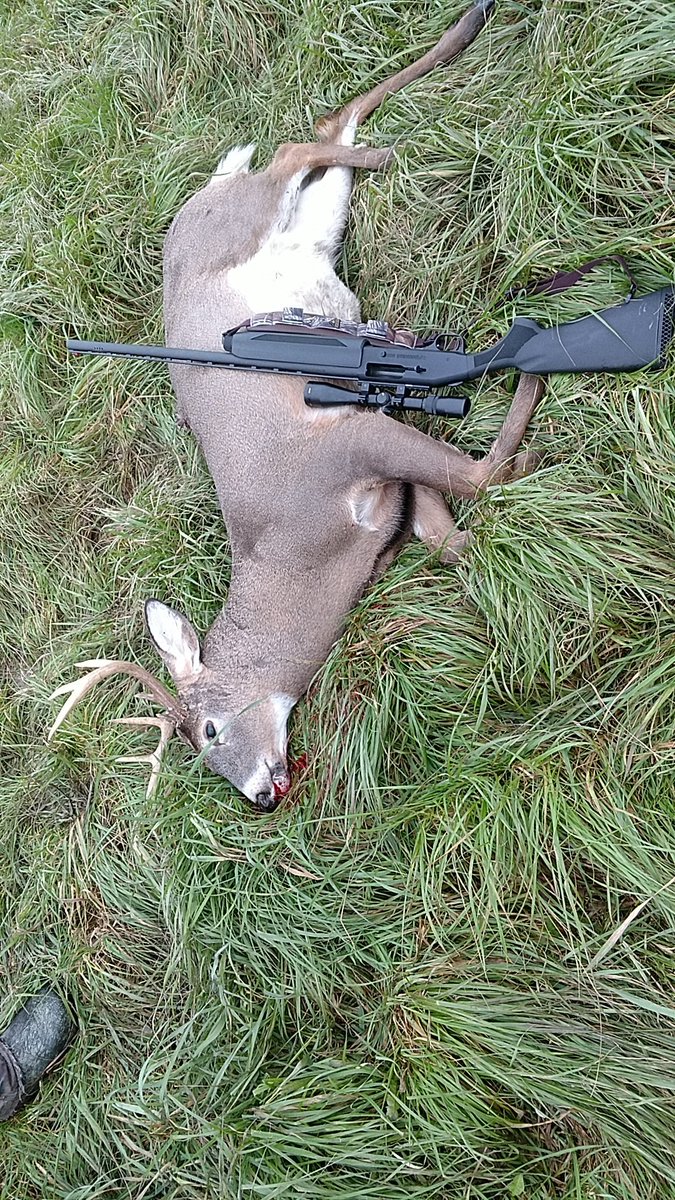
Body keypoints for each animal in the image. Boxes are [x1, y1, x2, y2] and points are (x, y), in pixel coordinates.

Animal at [49, 0, 544, 812]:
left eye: (209, 728)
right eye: (198, 754)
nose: (260, 794)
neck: (301, 555)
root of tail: (200, 197)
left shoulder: (340, 448)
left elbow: (473, 475)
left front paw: (528, 425)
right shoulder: (378, 463)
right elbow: (441, 530)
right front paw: (478, 549)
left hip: (249, 211)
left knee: (287, 145)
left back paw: (390, 143)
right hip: (312, 221)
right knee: (327, 131)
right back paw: (447, 52)